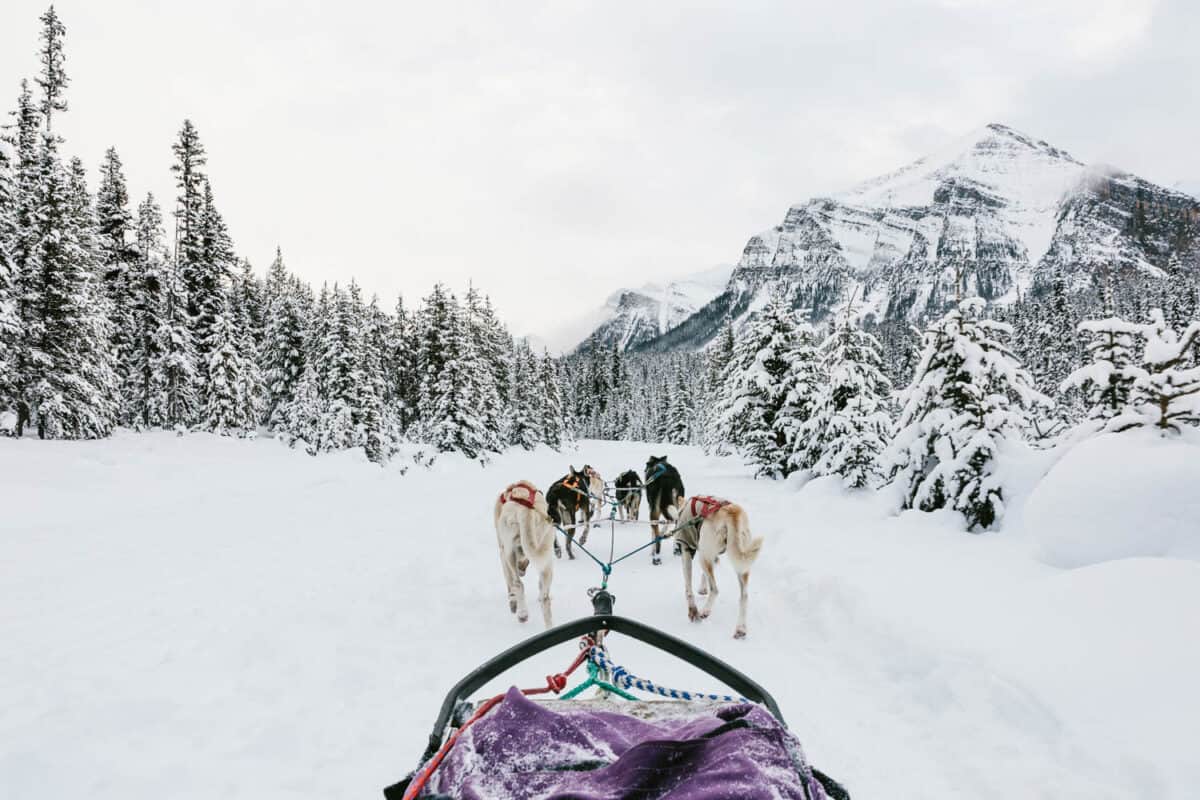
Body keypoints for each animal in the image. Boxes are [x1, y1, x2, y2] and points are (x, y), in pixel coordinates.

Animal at [492, 482, 556, 633]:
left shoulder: (503, 553)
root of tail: (527, 510)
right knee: (545, 598)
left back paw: (522, 614)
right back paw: (550, 628)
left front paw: (512, 602)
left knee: (518, 583)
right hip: (546, 558)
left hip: (508, 552)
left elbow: (510, 583)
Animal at [676, 494, 758, 638]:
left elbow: (688, 588)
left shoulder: (687, 549)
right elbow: (703, 575)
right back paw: (741, 628)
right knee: (744, 597)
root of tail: (733, 511)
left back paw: (705, 610)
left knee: (715, 589)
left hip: (703, 557)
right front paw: (702, 589)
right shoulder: (710, 554)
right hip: (741, 565)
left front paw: (693, 611)